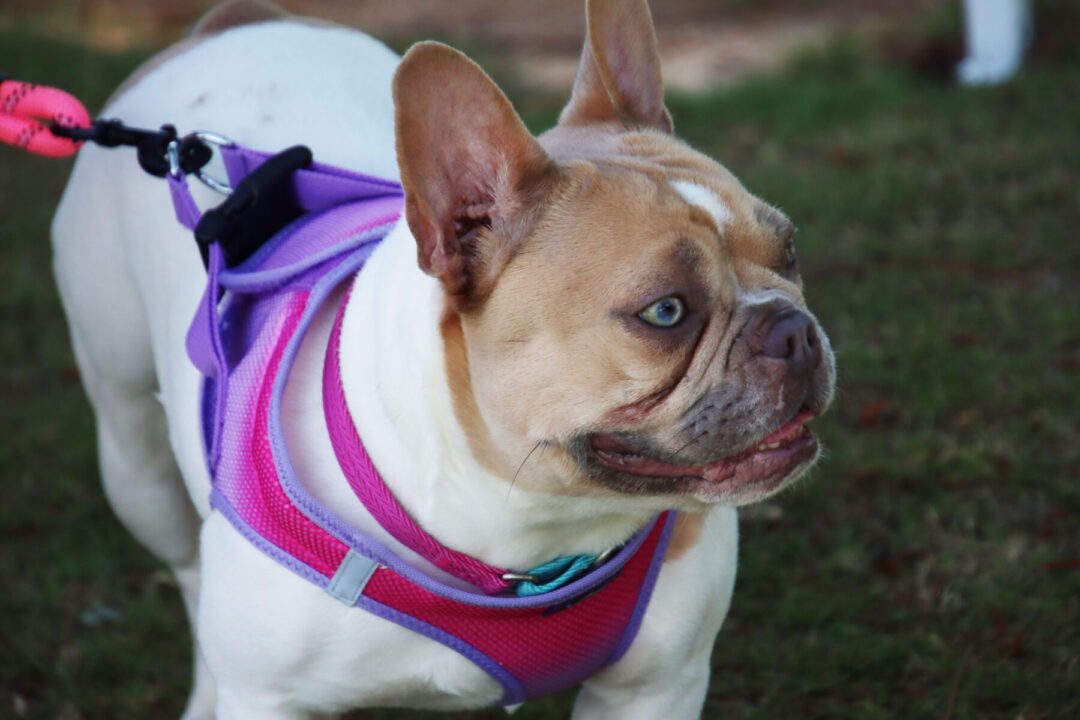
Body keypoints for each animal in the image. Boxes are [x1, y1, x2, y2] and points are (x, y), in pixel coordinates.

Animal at [50, 0, 835, 716]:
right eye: (666, 312)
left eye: (790, 251)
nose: (794, 330)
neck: (524, 530)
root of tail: (234, 23)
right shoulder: (269, 699)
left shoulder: (656, 687)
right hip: (134, 457)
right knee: (185, 567)